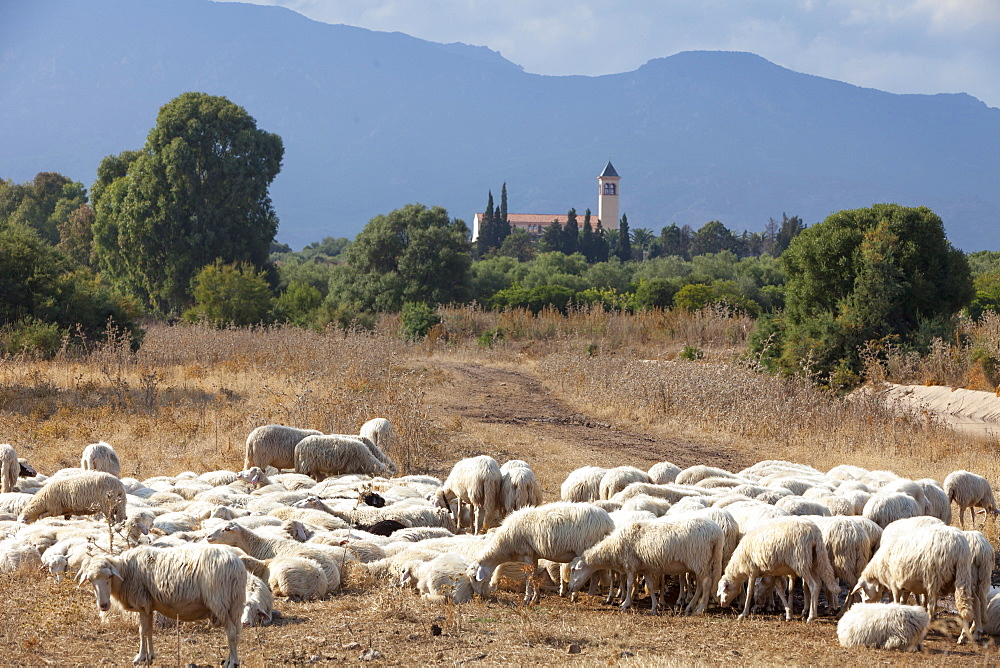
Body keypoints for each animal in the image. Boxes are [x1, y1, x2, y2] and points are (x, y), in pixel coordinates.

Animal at [79, 544, 247, 664]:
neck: (125, 572)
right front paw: (150, 656)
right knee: (237, 632)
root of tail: (236, 565)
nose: (103, 605)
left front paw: (140, 657)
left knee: (231, 631)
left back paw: (233, 662)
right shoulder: (149, 606)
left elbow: (142, 631)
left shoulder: (142, 603)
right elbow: (149, 630)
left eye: (109, 577)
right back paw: (229, 659)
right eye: (91, 580)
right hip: (236, 603)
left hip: (219, 602)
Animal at [470, 500, 616, 604]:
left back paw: (584, 596)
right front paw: (536, 598)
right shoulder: (534, 556)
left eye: (474, 577)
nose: (478, 596)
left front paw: (526, 599)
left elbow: (528, 576)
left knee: (594, 576)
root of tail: (608, 522)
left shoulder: (527, 554)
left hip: (586, 549)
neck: (504, 544)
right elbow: (534, 576)